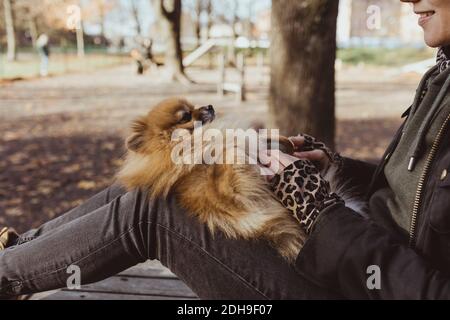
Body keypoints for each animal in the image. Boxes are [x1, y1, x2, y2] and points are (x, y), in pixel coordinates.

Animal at [117, 97, 306, 262]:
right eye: (185, 116)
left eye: (193, 106)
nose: (209, 106)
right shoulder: (231, 193)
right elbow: (229, 153)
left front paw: (285, 143)